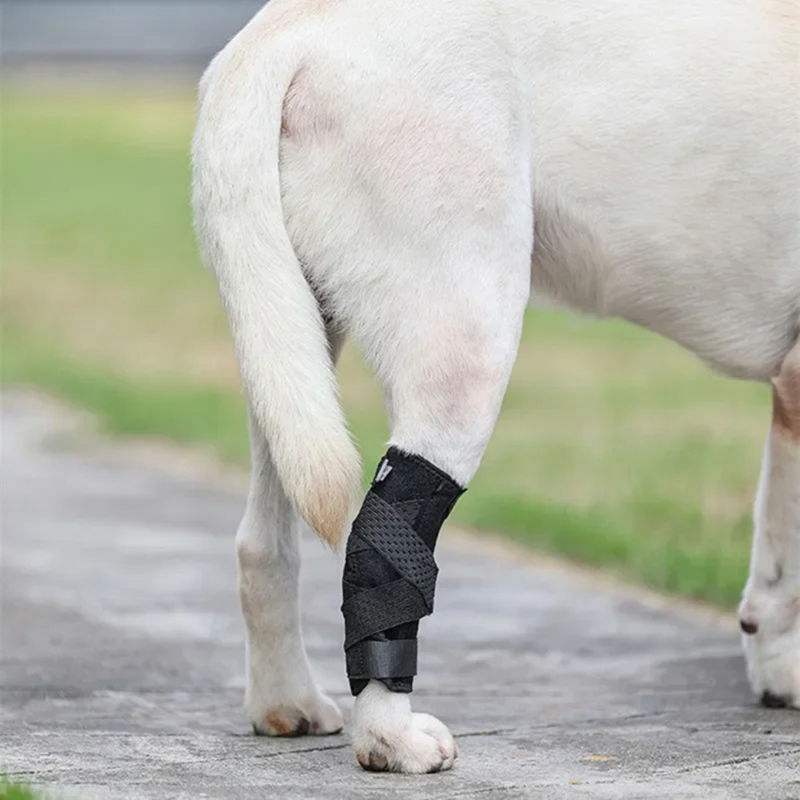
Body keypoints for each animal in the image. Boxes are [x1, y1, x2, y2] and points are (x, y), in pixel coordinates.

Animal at [191, 0, 796, 776]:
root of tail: (284, 28)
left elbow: (779, 557)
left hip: (291, 345)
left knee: (265, 537)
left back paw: (285, 700)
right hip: (464, 335)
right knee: (379, 538)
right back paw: (390, 736)